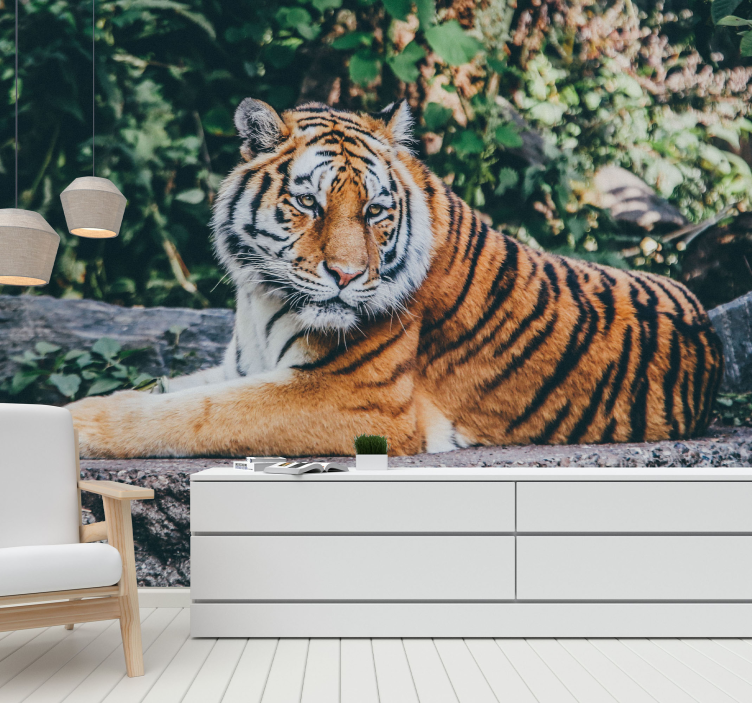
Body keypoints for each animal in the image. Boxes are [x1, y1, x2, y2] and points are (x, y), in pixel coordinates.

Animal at [67, 98, 724, 458]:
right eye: (307, 203)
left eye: (375, 211)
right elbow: (168, 391)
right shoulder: (241, 367)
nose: (346, 275)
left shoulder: (356, 399)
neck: (261, 298)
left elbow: (193, 414)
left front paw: (77, 422)